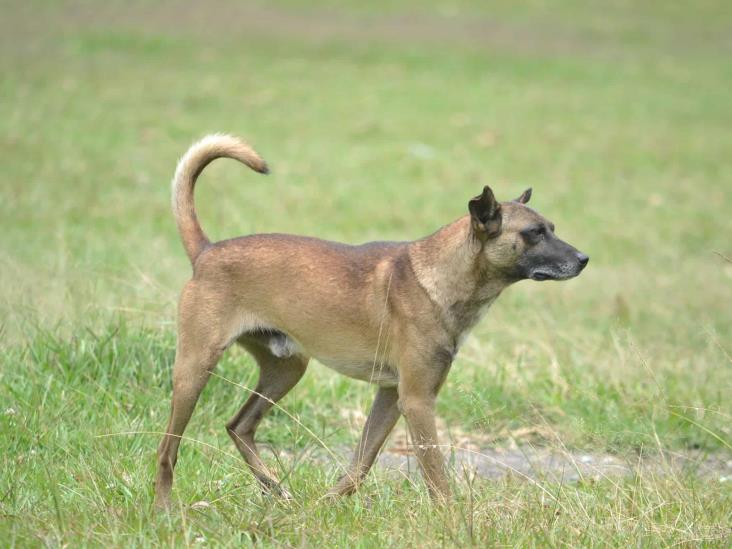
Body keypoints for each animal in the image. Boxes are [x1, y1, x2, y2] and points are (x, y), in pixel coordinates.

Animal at [153, 134, 588, 506]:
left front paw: (325, 506)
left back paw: (276, 490)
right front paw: (451, 520)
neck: (440, 275)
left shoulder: (391, 396)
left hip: (287, 368)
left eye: (552, 228)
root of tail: (207, 251)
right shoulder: (417, 401)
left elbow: (361, 463)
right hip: (195, 370)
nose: (584, 259)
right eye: (534, 233)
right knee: (167, 449)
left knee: (239, 426)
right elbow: (436, 476)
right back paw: (165, 510)